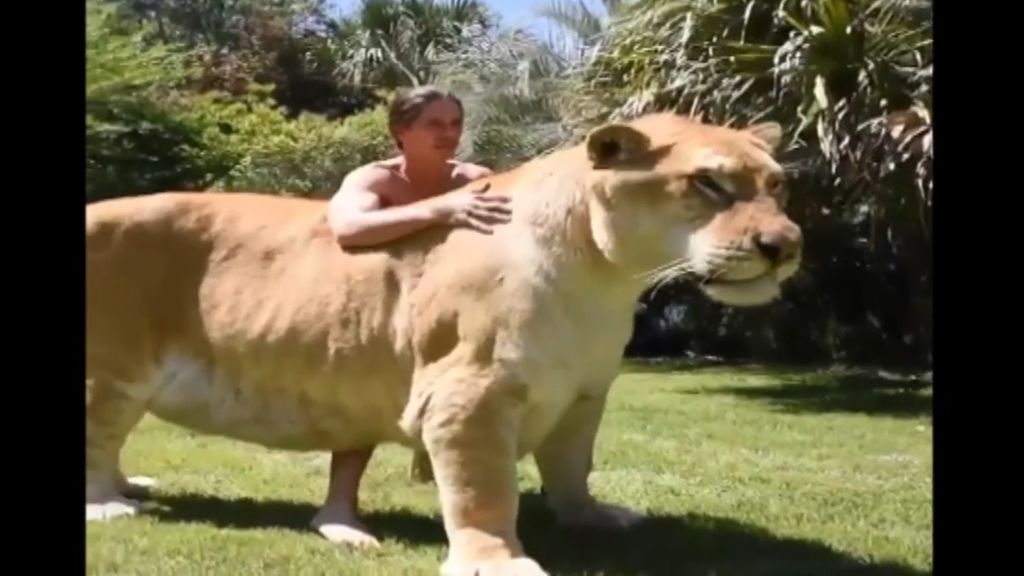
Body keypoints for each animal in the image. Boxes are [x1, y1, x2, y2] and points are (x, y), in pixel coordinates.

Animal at [86, 112, 798, 573]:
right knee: (99, 437)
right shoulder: (470, 393)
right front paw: (499, 562)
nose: (785, 245)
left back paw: (136, 487)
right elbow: (484, 491)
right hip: (109, 373)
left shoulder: (583, 394)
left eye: (776, 184)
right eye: (708, 182)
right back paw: (110, 506)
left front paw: (592, 517)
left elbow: (573, 467)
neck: (605, 276)